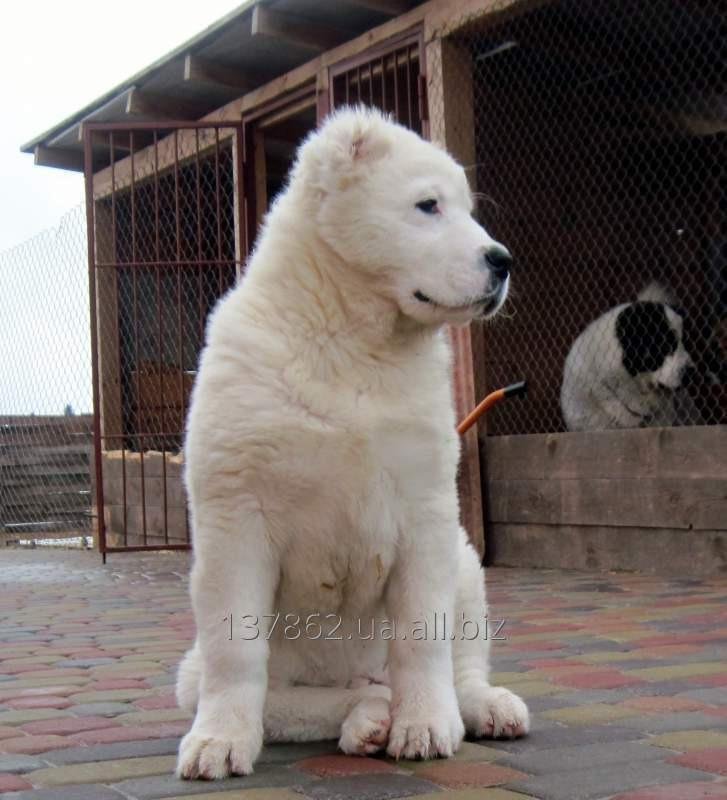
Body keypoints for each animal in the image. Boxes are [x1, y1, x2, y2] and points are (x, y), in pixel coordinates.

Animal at [176, 108, 528, 780]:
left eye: (469, 210)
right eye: (427, 206)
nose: (503, 260)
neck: (354, 343)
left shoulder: (426, 510)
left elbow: (423, 634)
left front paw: (426, 725)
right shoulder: (236, 515)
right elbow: (236, 652)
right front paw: (218, 741)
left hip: (465, 563)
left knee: (459, 665)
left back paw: (477, 706)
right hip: (197, 668)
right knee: (288, 699)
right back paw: (364, 715)